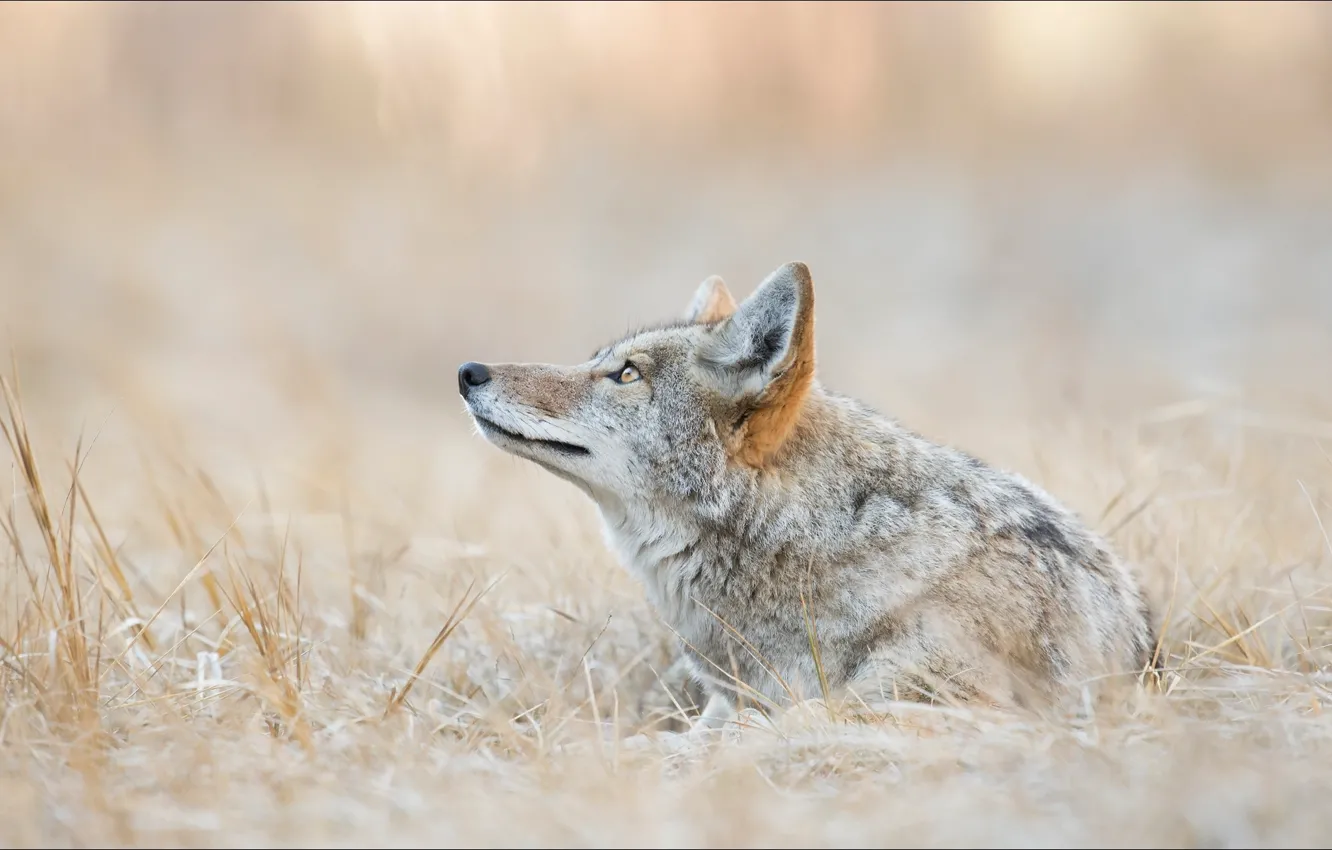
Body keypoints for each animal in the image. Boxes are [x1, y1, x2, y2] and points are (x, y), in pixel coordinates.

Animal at [458, 262, 1159, 730]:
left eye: (626, 374)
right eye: (603, 362)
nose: (469, 372)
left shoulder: (952, 701)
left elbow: (788, 724)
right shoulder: (723, 703)